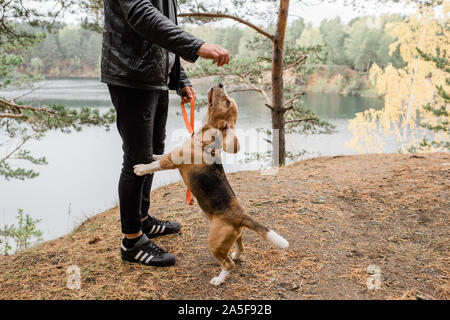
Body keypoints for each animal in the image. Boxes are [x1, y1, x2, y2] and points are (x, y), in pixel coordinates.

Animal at [134, 84, 288, 286]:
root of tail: (241, 215)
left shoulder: (172, 161)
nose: (221, 83)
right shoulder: (171, 155)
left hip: (215, 241)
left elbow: (156, 165)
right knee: (240, 248)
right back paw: (236, 255)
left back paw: (219, 279)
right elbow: (160, 156)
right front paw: (153, 155)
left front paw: (140, 168)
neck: (204, 141)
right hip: (235, 236)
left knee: (228, 264)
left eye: (227, 102)